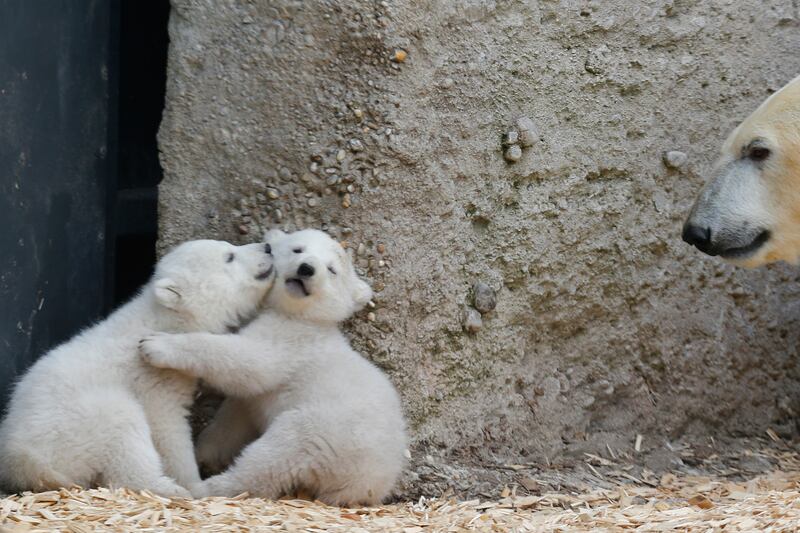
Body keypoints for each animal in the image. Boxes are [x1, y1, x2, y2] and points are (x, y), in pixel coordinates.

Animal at [0, 239, 275, 497]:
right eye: (229, 256)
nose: (268, 247)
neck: (163, 319)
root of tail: (21, 458)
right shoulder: (151, 376)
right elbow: (167, 426)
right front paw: (192, 482)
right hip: (71, 427)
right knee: (122, 427)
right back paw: (170, 489)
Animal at [138, 228, 408, 505]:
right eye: (298, 249)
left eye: (332, 269)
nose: (307, 268)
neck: (303, 318)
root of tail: (367, 482)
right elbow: (236, 415)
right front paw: (205, 450)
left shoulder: (292, 339)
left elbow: (252, 360)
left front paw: (157, 345)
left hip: (327, 431)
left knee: (274, 455)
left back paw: (207, 487)